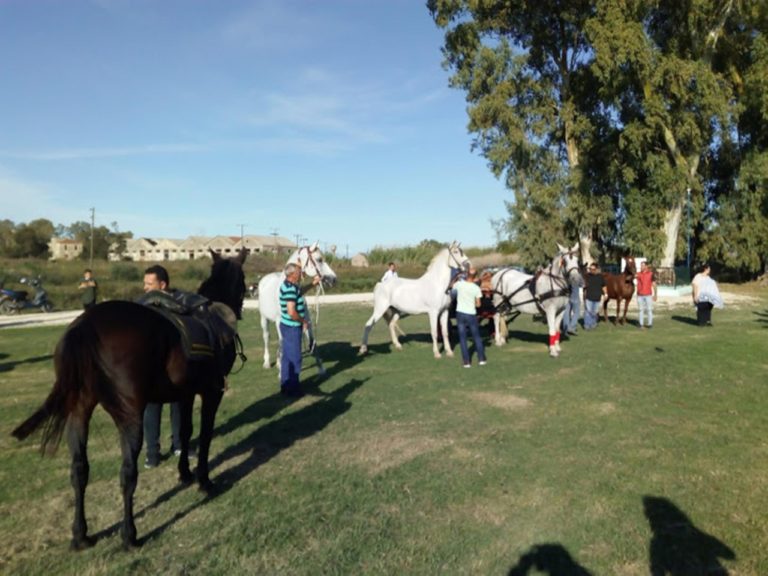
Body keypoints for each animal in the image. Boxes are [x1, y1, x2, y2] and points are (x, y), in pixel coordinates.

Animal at [11, 250, 246, 552]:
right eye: (243, 281)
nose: (240, 307)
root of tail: (85, 325)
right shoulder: (212, 392)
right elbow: (204, 436)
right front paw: (204, 480)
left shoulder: (184, 394)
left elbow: (184, 432)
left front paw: (184, 473)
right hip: (130, 416)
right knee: (127, 473)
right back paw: (129, 535)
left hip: (79, 412)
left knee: (79, 470)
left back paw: (81, 535)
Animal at [258, 243, 336, 378]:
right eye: (319, 259)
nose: (333, 279)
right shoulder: (280, 322)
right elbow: (283, 343)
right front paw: (281, 374)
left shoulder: (306, 321)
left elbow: (313, 343)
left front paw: (321, 369)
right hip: (264, 319)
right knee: (267, 337)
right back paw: (267, 362)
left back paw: (278, 362)